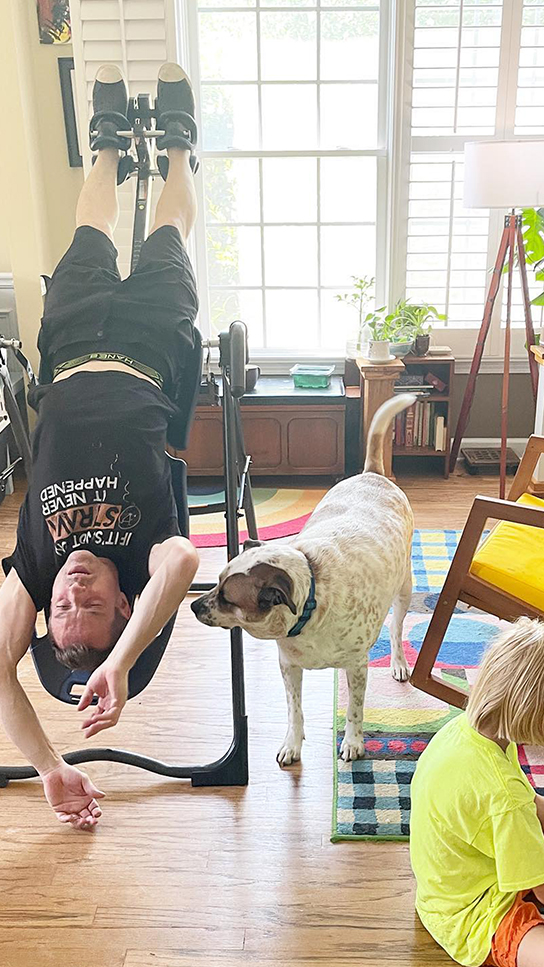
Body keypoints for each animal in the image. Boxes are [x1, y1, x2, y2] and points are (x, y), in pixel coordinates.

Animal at [192, 392, 416, 764]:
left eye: (227, 596)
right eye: (216, 581)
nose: (194, 606)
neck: (310, 602)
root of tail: (371, 473)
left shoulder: (358, 665)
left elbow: (355, 710)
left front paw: (353, 742)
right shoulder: (288, 667)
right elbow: (294, 710)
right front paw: (292, 743)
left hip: (404, 590)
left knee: (397, 631)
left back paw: (398, 663)